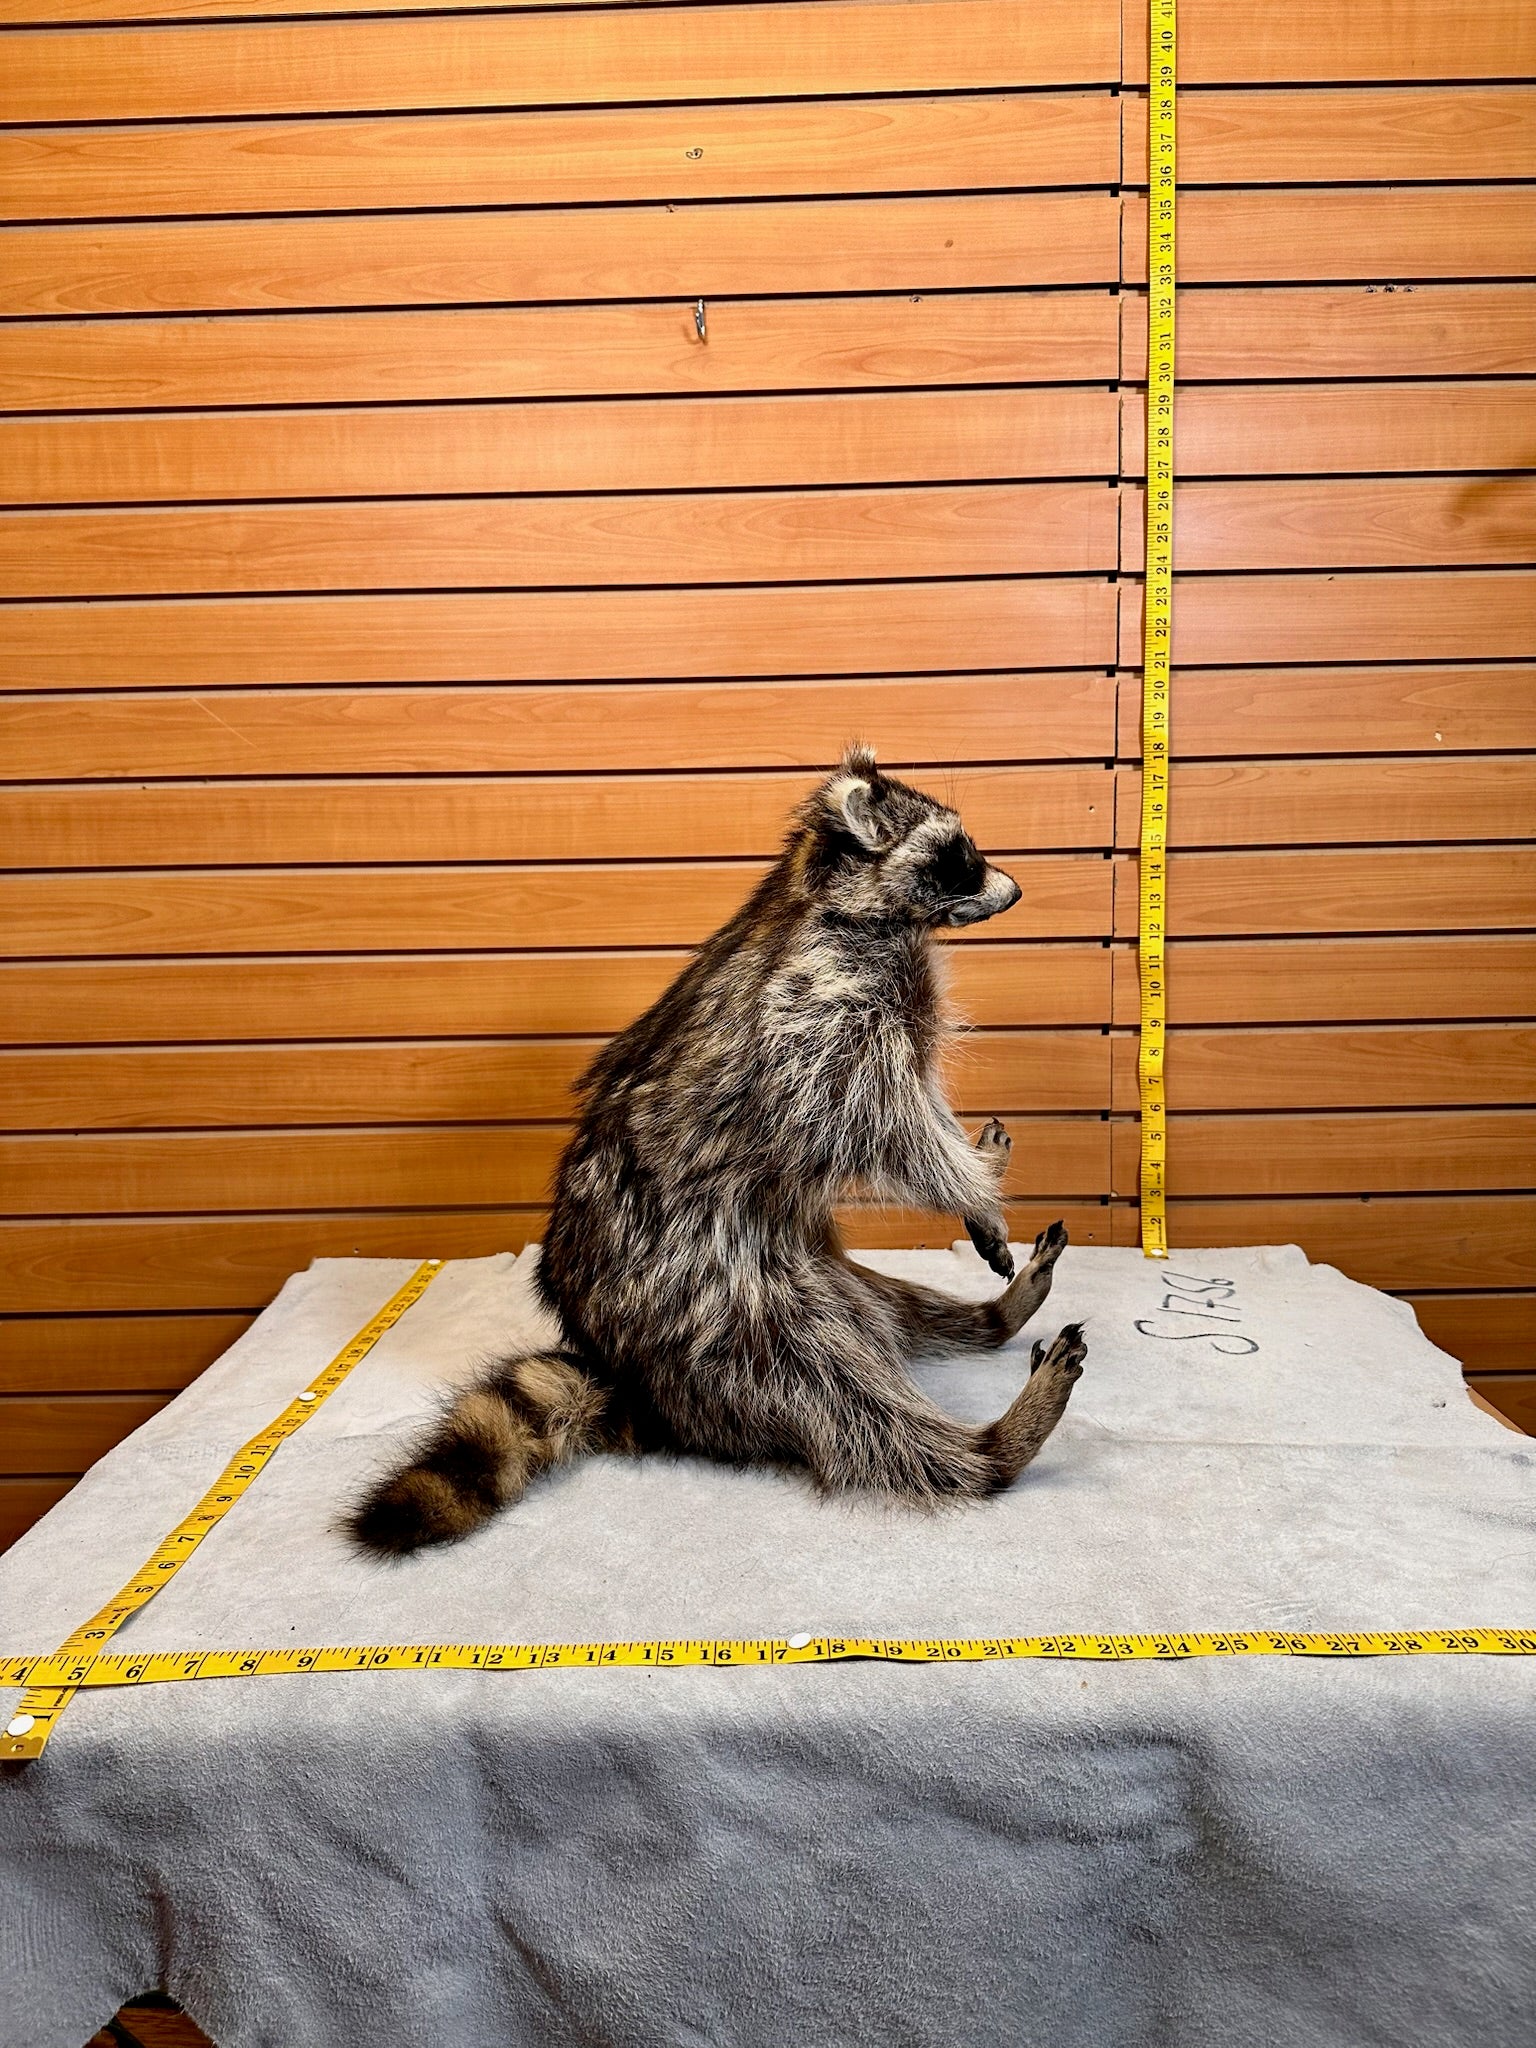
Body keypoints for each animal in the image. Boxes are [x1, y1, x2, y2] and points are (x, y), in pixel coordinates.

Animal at [351, 746, 1085, 1554]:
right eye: (957, 856)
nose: (1017, 888)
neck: (842, 908)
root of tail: (629, 1382)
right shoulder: (816, 1019)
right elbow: (888, 1129)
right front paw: (976, 1182)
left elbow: (921, 1102)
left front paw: (978, 1182)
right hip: (714, 1306)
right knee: (838, 1397)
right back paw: (991, 1447)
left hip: (800, 1265)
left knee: (890, 1301)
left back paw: (991, 1318)